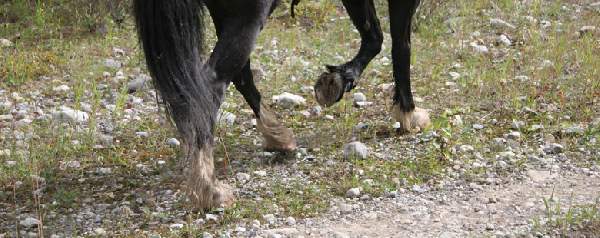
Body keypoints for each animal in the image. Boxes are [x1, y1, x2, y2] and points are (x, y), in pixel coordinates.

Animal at [133, 0, 428, 209]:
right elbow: (400, 46)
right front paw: (408, 114)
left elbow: (374, 37)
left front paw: (337, 80)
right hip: (247, 19)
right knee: (211, 86)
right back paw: (210, 190)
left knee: (240, 77)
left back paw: (277, 135)